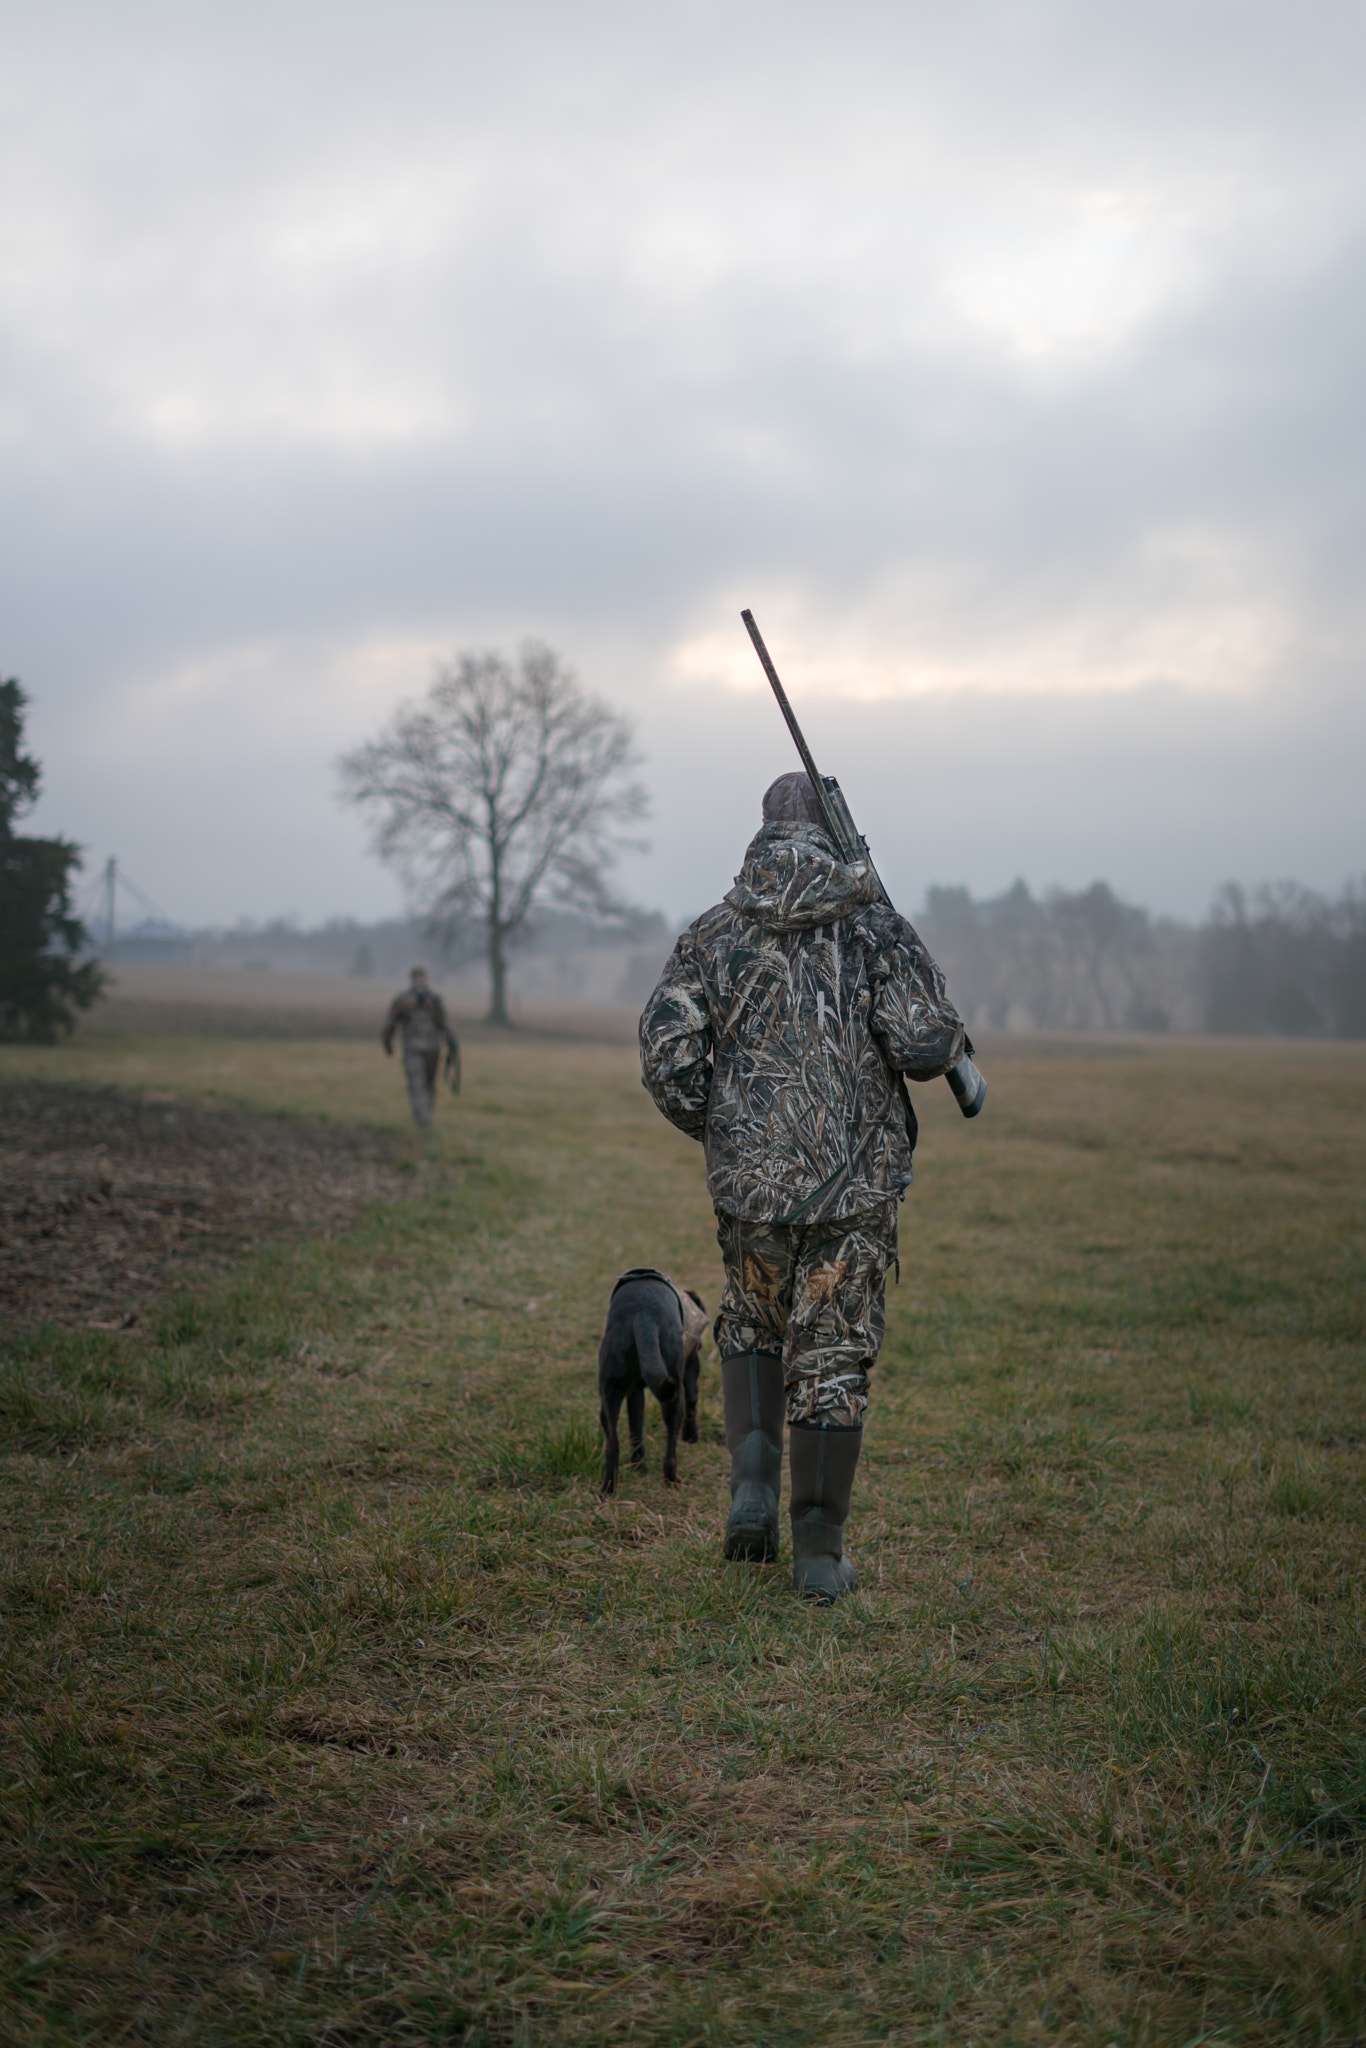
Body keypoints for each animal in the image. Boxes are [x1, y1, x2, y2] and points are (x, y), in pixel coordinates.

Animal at [602, 1261, 712, 1490]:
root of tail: (642, 1314)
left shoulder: (634, 1393)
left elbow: (635, 1429)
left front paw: (638, 1467)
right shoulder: (691, 1368)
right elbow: (693, 1401)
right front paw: (691, 1437)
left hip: (610, 1392)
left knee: (613, 1443)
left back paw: (609, 1488)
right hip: (675, 1394)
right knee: (671, 1446)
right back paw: (672, 1480)